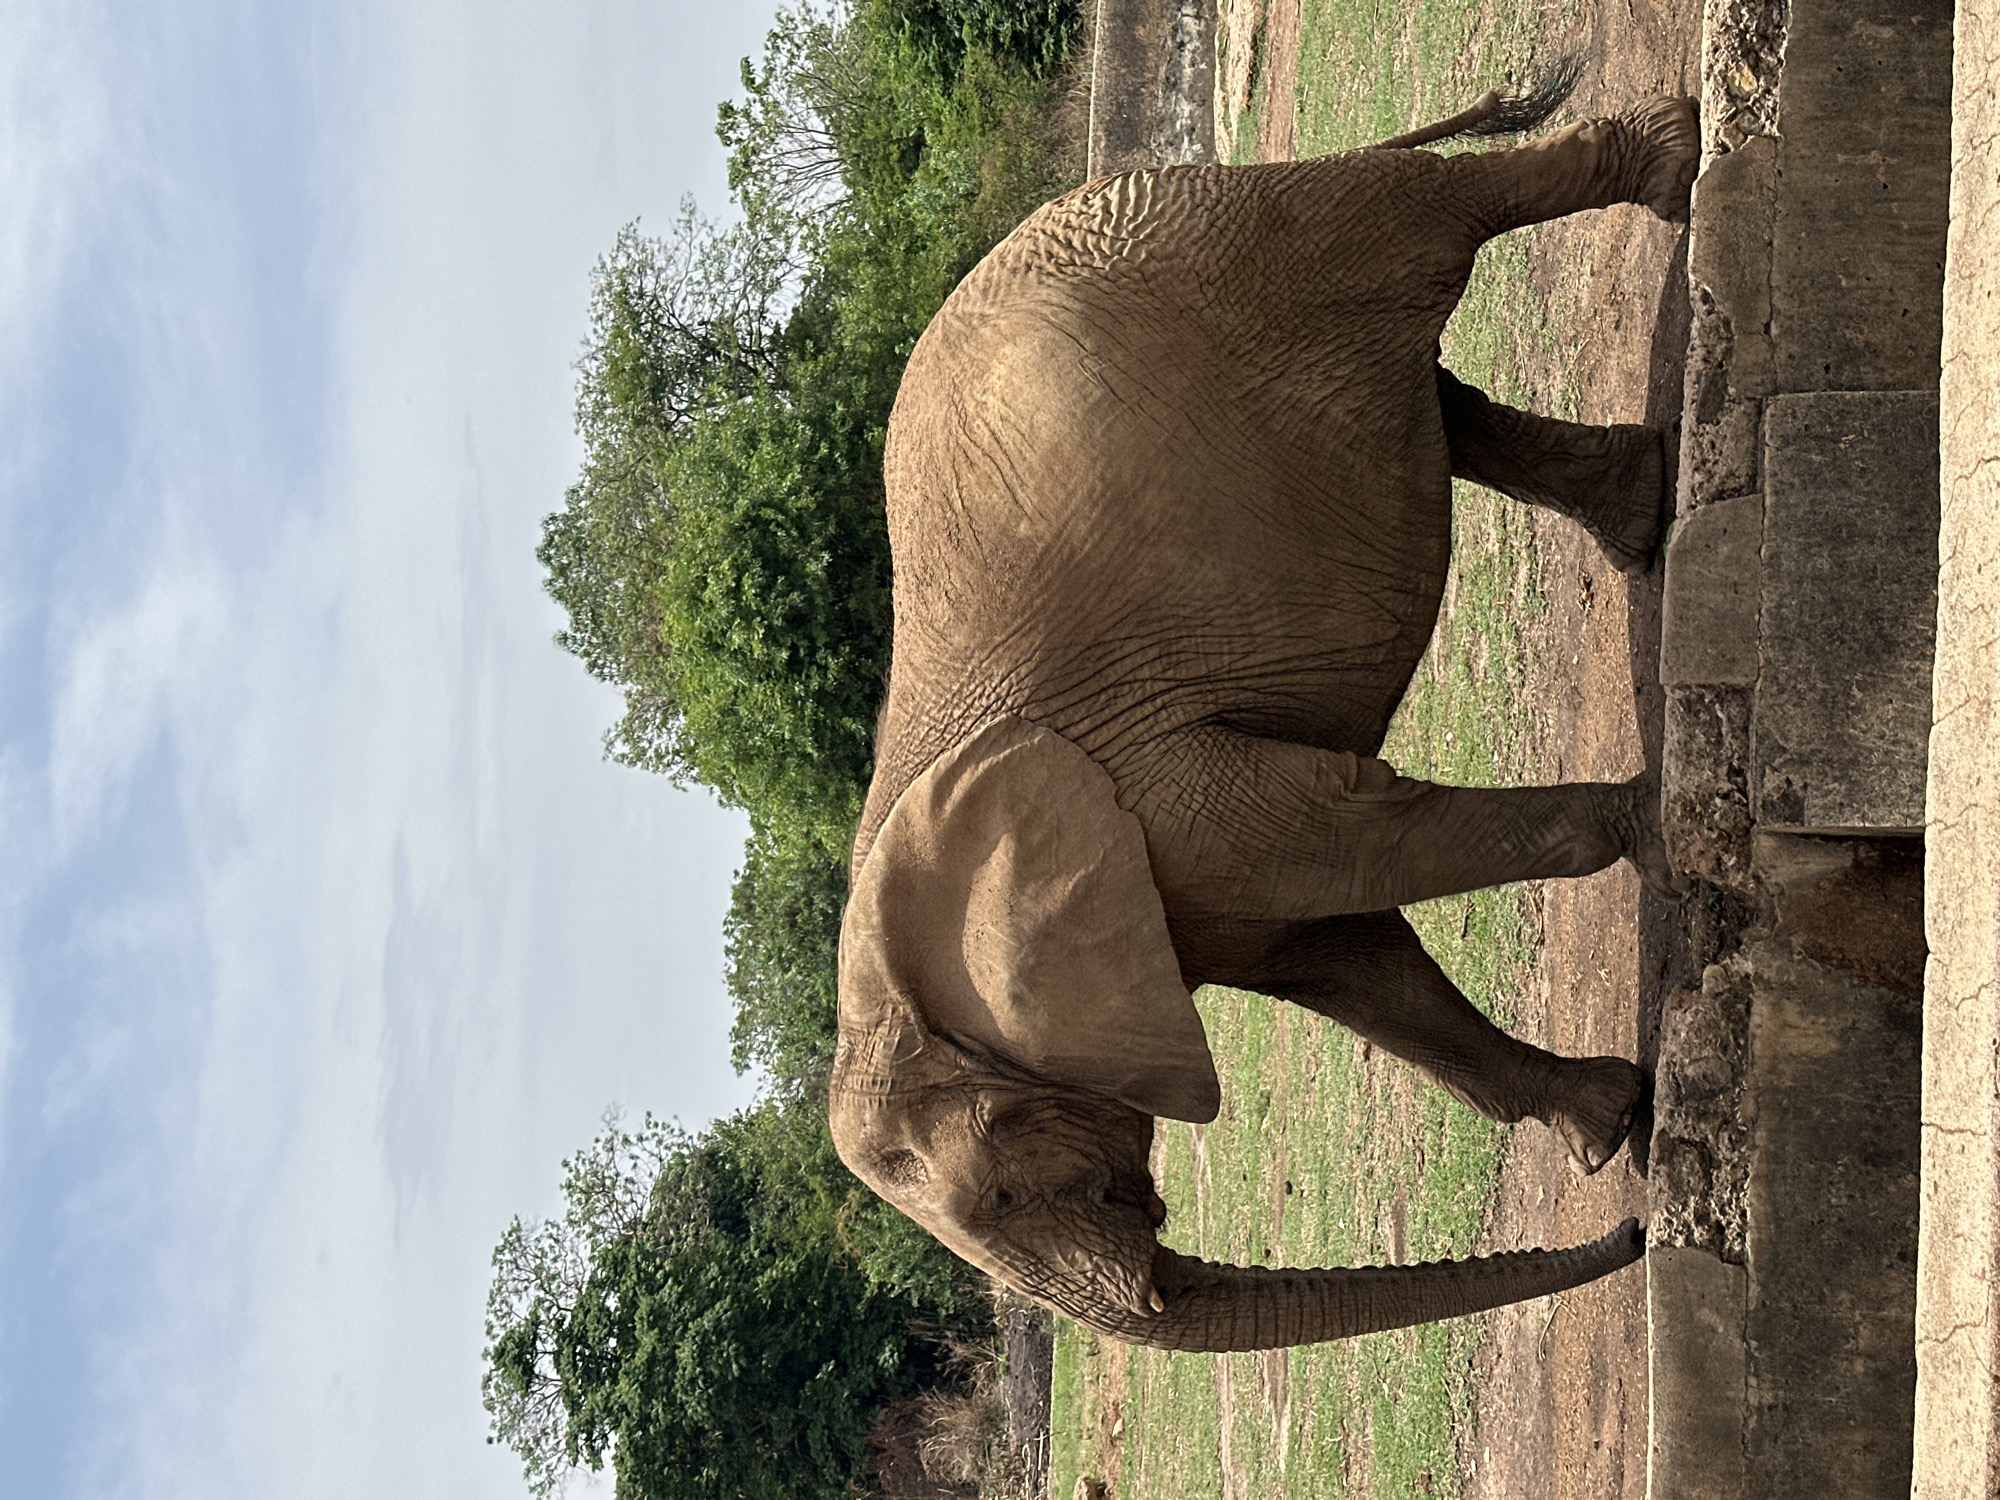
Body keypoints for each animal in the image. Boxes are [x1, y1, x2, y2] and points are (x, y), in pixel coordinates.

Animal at [829, 85, 1702, 1353]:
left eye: (996, 1184)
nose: (1637, 1237)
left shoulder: (1169, 802)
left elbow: (1356, 848)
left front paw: (1664, 822)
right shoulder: (1184, 883)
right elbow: (1348, 957)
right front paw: (1605, 1125)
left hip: (1258, 243)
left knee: (1438, 218)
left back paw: (1671, 166)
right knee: (1438, 402)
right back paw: (1639, 511)